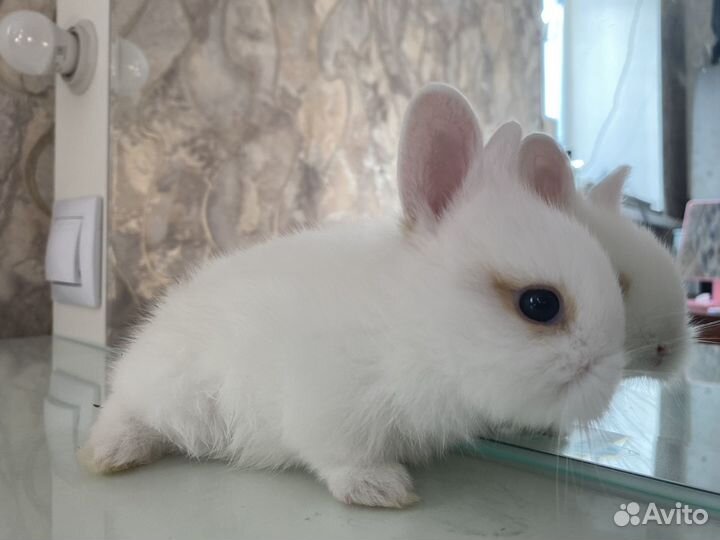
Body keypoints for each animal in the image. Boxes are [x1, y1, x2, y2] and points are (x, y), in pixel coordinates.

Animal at [79, 83, 626, 509]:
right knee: (127, 412)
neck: (416, 327)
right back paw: (109, 455)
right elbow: (340, 456)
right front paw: (383, 490)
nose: (608, 375)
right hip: (172, 390)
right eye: (539, 304)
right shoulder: (329, 405)